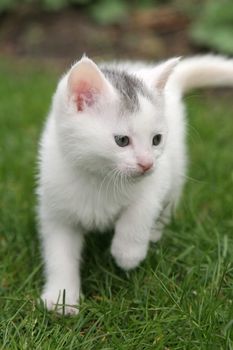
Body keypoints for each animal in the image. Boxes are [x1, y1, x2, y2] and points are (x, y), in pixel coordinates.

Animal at [37, 54, 233, 314]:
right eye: (122, 140)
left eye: (156, 139)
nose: (147, 164)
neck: (100, 179)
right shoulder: (56, 208)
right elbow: (60, 254)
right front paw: (61, 298)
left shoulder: (157, 179)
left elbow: (139, 211)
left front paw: (127, 253)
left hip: (176, 167)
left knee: (169, 202)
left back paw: (154, 233)